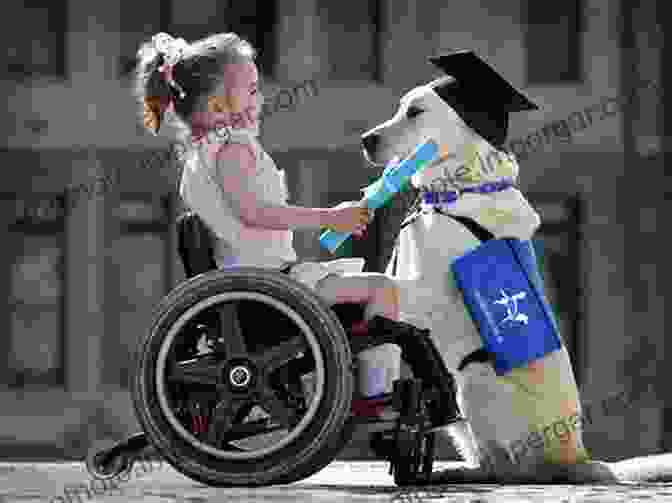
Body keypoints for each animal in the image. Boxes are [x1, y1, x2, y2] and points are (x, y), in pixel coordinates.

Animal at [362, 51, 672, 484]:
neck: (459, 190)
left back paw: (458, 472)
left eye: (416, 111)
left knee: (504, 468)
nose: (365, 140)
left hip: (474, 382)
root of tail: (577, 455)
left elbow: (382, 287)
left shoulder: (424, 292)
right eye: (399, 108)